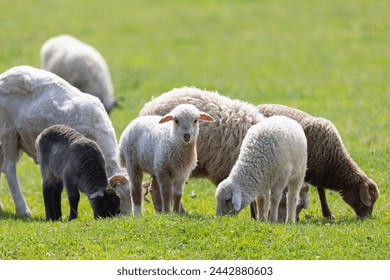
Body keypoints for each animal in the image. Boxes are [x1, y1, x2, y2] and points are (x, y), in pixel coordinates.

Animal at [0, 65, 131, 217]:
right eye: (120, 197)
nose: (127, 218)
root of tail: (4, 76)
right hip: (8, 130)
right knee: (9, 168)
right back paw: (23, 209)